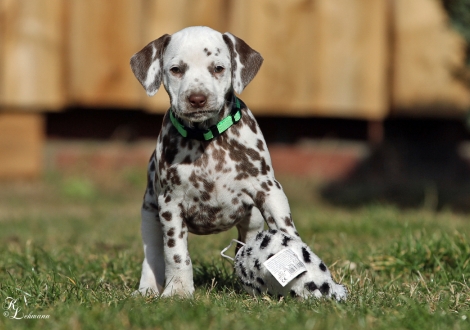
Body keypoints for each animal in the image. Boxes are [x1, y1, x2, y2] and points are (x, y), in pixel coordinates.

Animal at [129, 27, 300, 298]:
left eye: (218, 68)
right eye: (176, 69)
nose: (197, 98)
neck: (207, 139)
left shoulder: (269, 191)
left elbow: (286, 232)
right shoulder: (170, 204)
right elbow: (176, 254)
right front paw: (178, 290)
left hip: (252, 220)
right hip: (149, 214)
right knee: (153, 256)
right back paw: (147, 289)